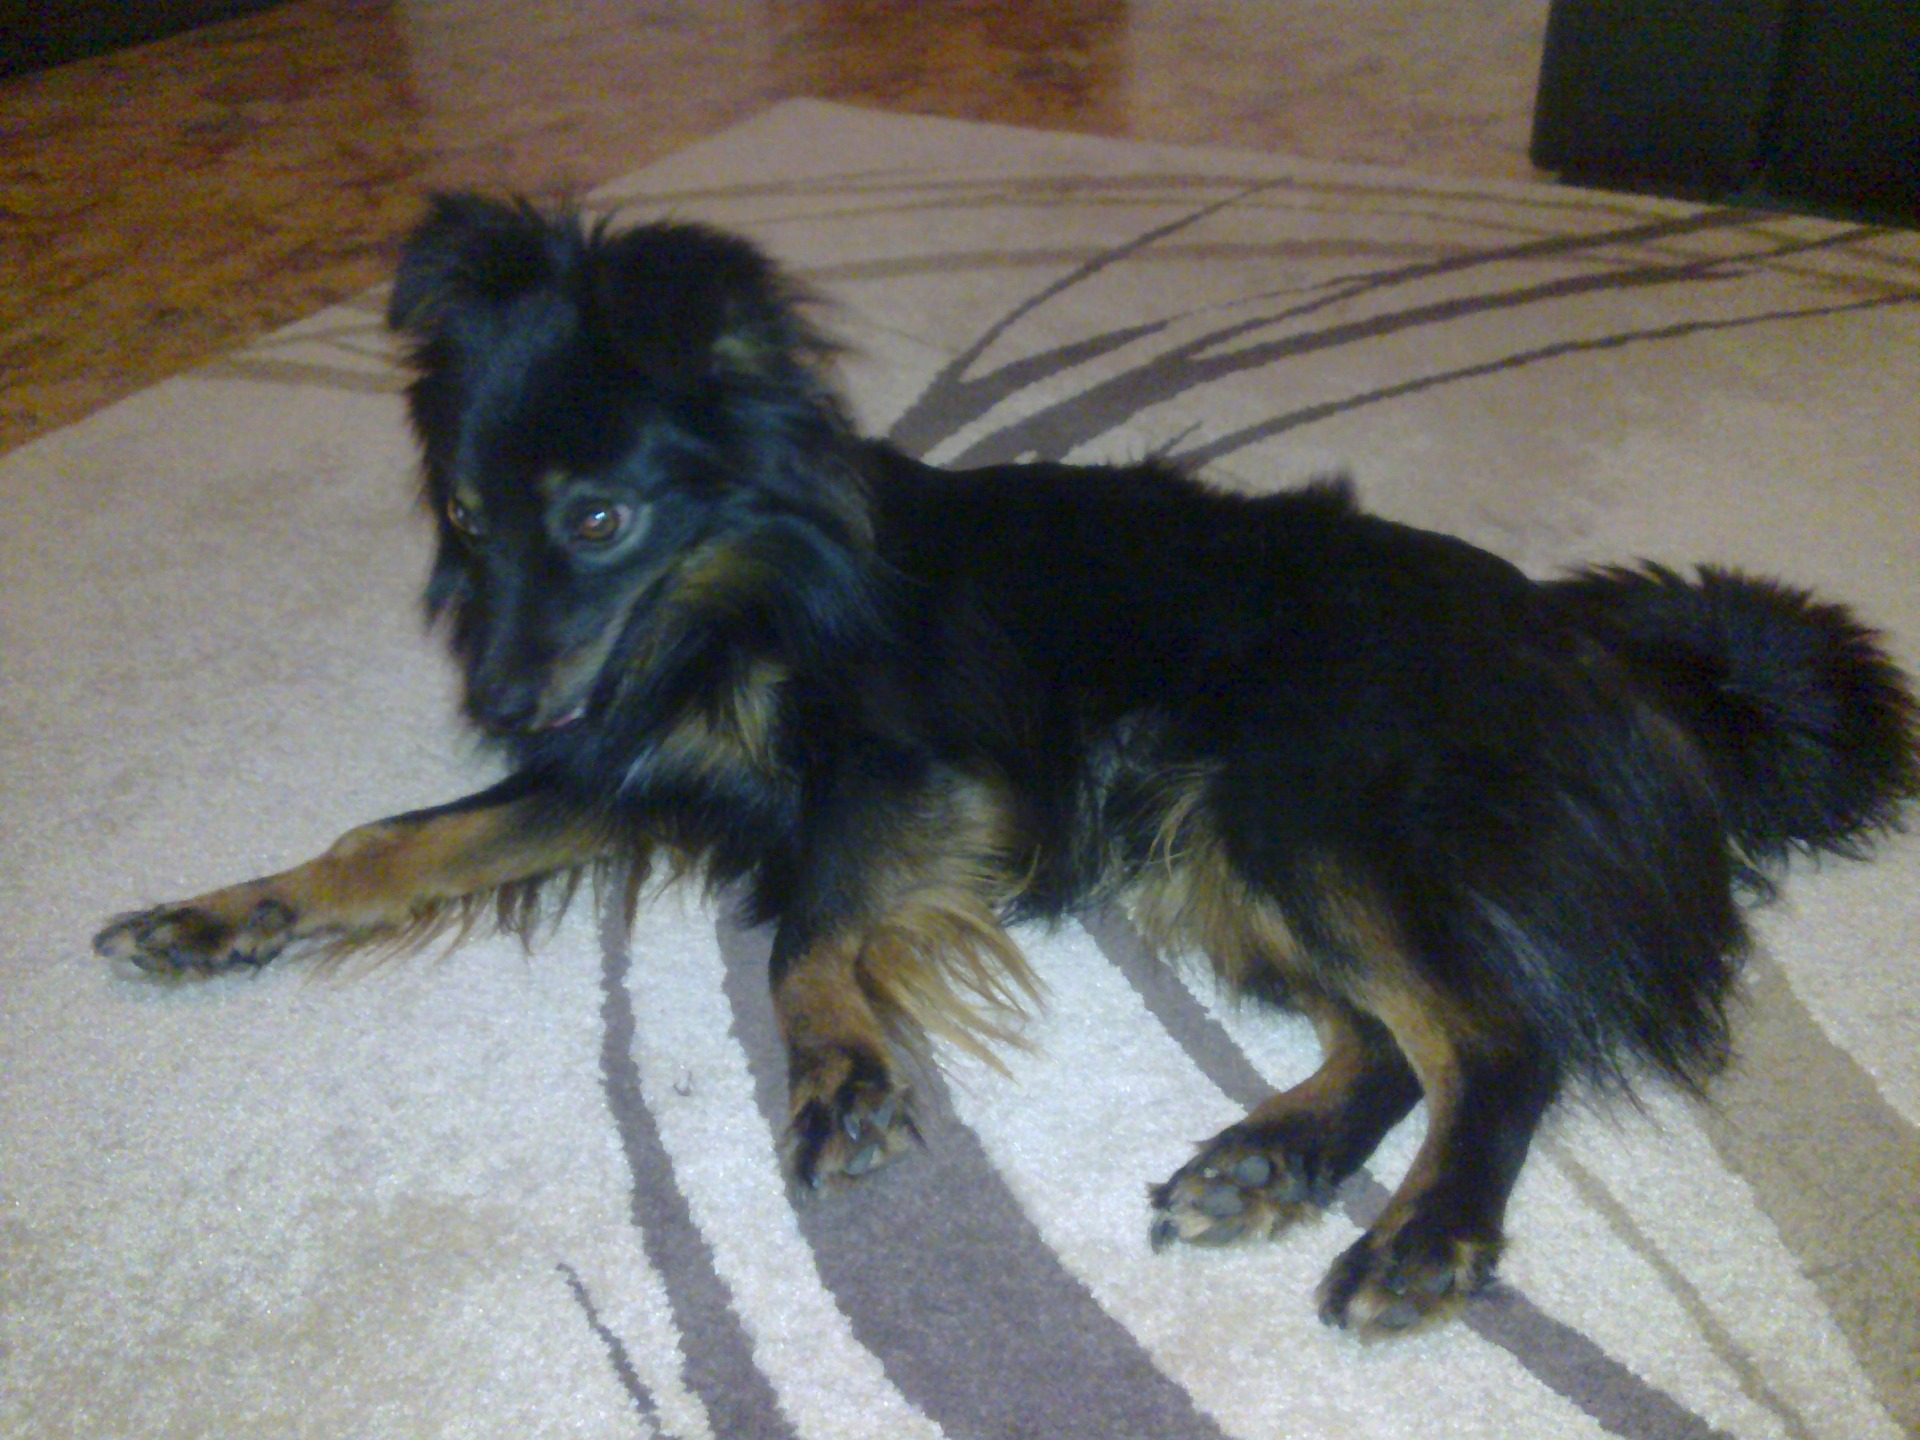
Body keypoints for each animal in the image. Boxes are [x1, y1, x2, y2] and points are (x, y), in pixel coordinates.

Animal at [96, 193, 1919, 1336]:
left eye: (597, 519)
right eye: (469, 525)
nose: (502, 698)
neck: (746, 594)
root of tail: (1595, 649)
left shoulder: (911, 779)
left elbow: (803, 934)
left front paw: (838, 1073)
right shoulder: (627, 765)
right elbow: (380, 844)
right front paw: (213, 918)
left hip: (1295, 805)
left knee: (1494, 1034)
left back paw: (1423, 1240)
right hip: (1219, 853)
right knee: (1395, 1039)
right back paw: (1269, 1165)